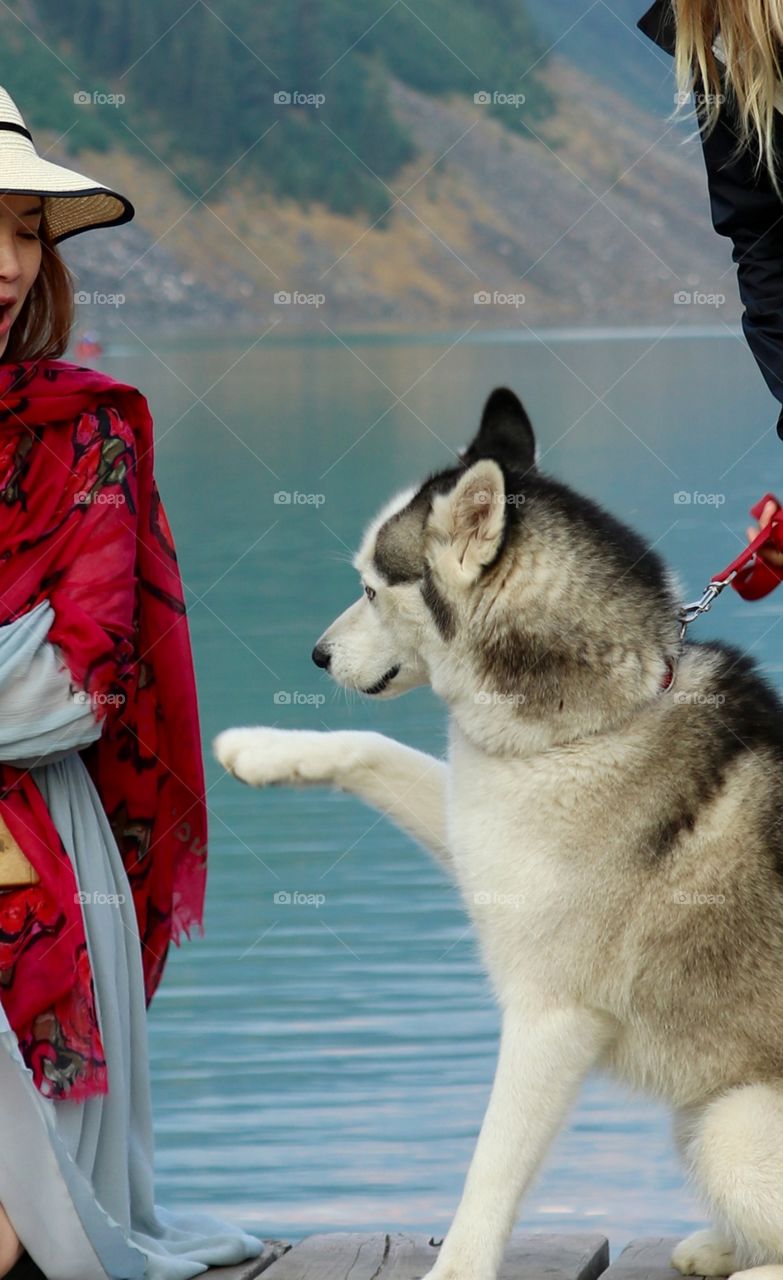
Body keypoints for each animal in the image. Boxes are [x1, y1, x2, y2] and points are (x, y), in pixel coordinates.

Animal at [213, 389, 783, 1280]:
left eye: (371, 588)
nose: (316, 655)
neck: (596, 721)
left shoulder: (550, 1015)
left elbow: (491, 1167)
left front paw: (456, 1266)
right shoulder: (479, 826)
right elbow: (372, 749)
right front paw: (262, 749)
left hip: (727, 1126)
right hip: (702, 1119)